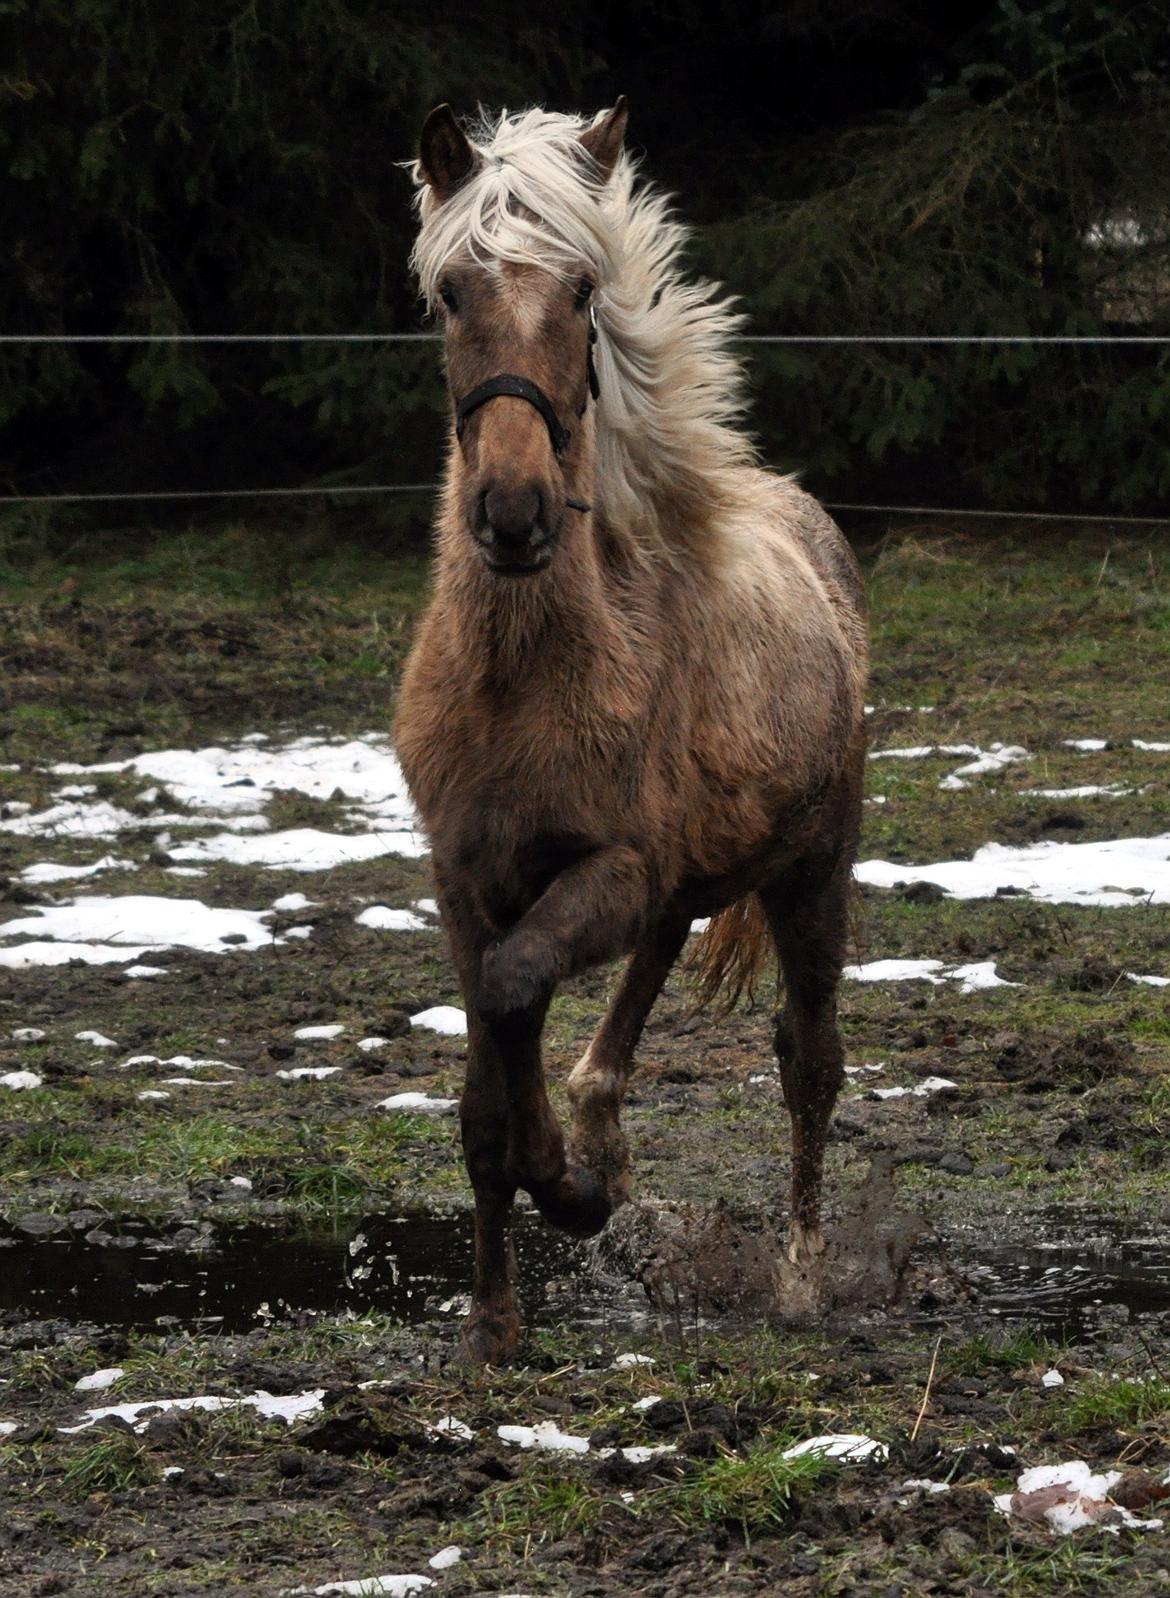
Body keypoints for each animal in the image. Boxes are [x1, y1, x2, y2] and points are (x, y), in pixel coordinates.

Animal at [394, 99, 869, 1361]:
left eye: (580, 291)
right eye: (451, 290)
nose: (514, 512)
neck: (523, 675)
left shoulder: (605, 868)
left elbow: (514, 990)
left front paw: (569, 1186)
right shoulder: (464, 878)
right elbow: (485, 1069)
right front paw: (495, 1319)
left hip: (814, 871)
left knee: (809, 1062)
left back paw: (799, 1276)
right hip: (684, 878)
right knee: (631, 1011)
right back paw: (604, 1137)